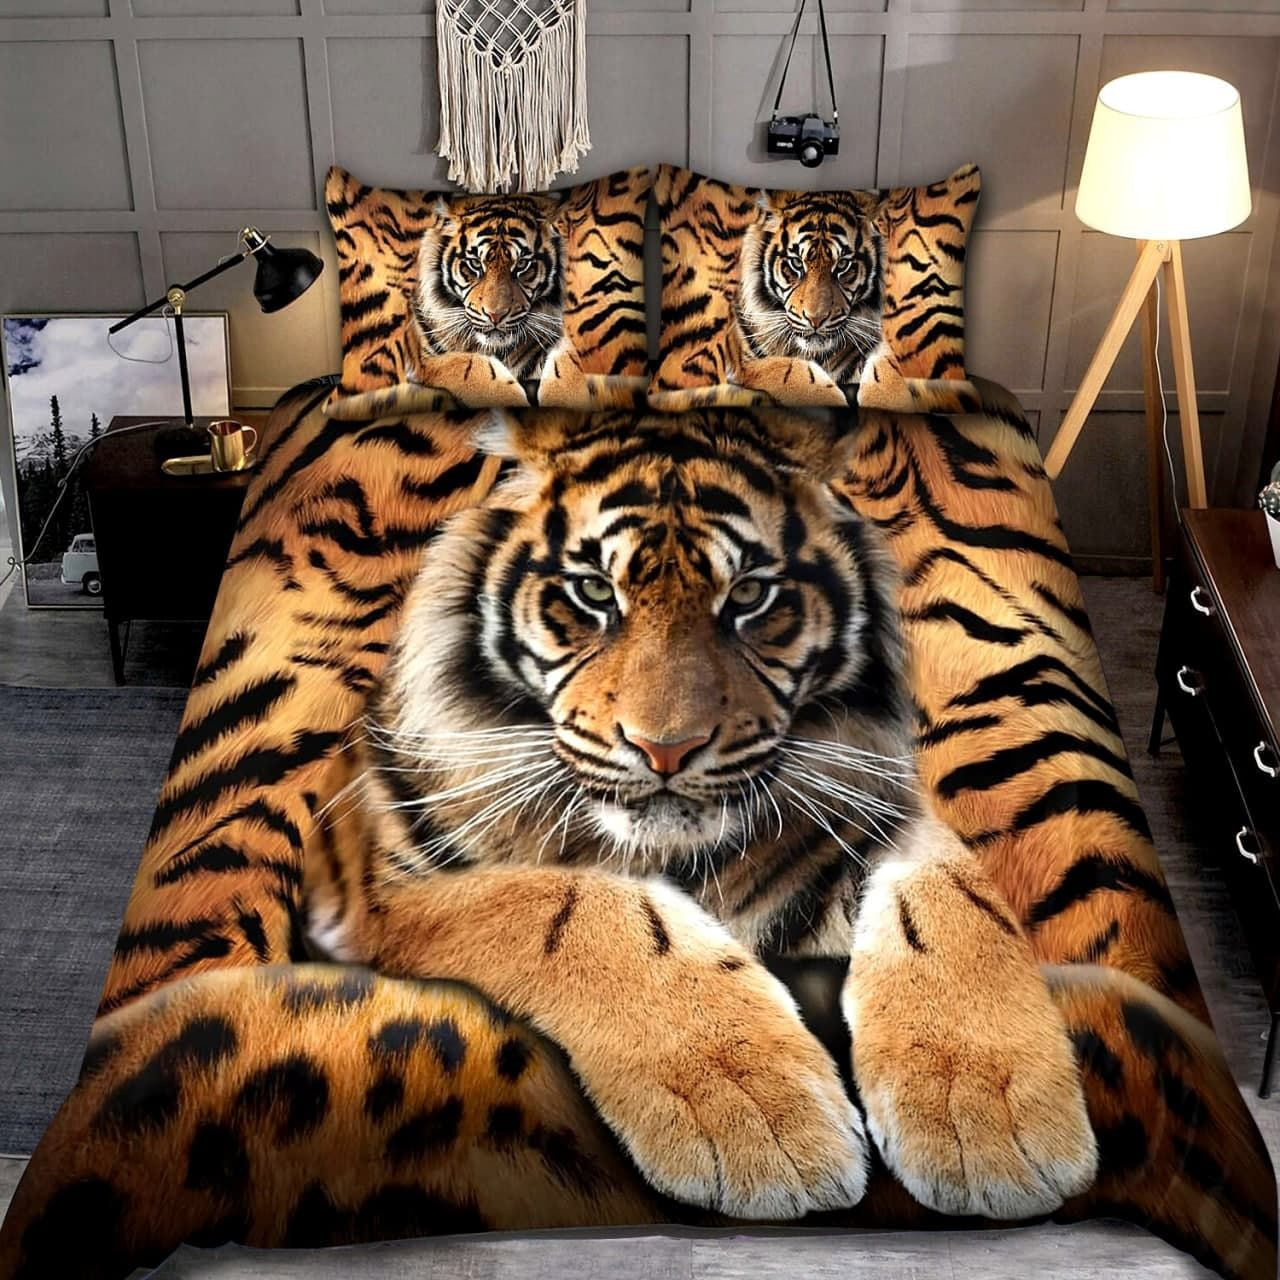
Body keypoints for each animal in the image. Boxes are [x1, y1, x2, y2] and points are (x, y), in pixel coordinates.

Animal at [1, 382, 1274, 1280]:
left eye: (749, 599)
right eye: (590, 596)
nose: (664, 749)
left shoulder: (882, 811)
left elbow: (951, 902)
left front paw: (989, 1113)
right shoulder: (383, 878)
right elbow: (579, 904)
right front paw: (757, 1113)